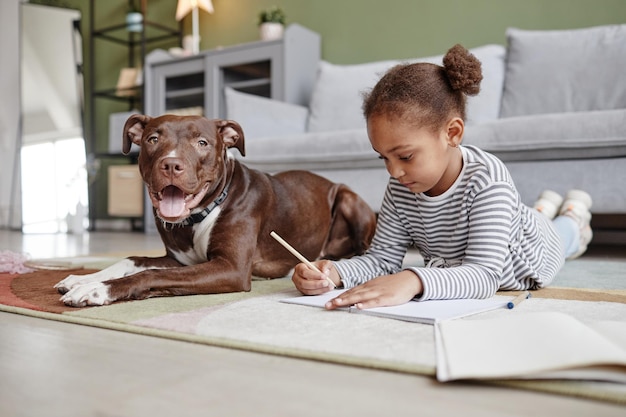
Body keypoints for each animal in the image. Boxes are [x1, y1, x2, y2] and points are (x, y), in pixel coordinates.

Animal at [54, 114, 376, 306]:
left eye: (202, 143)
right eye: (152, 139)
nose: (171, 165)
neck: (200, 214)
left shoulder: (230, 268)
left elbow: (150, 274)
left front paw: (97, 289)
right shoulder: (179, 260)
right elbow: (133, 260)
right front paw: (81, 279)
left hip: (348, 198)